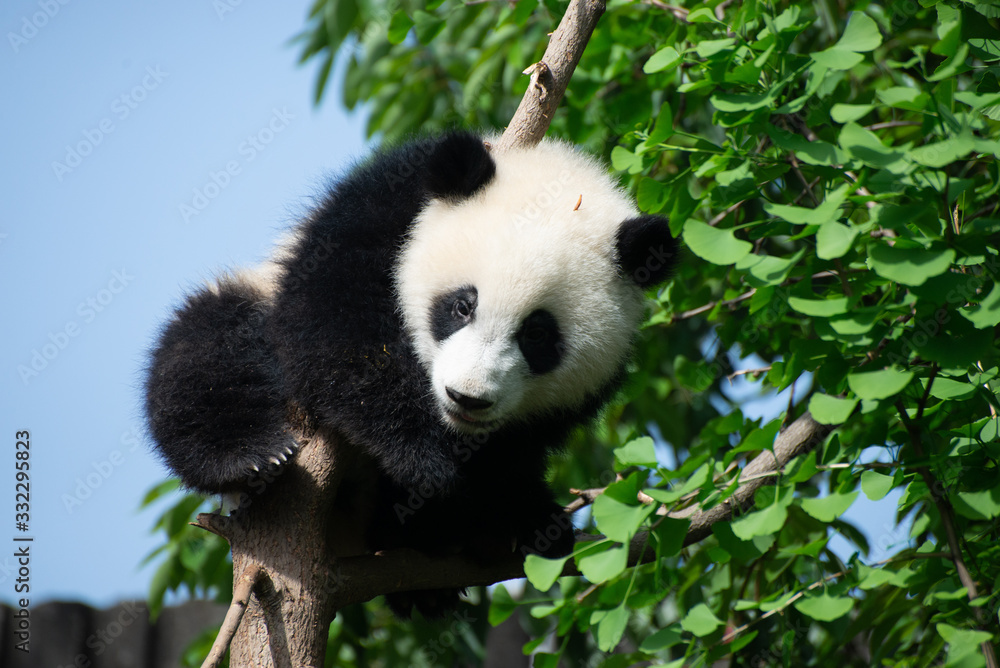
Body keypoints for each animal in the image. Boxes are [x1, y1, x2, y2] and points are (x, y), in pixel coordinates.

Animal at [145, 131, 678, 618]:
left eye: (538, 335)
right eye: (463, 305)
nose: (467, 398)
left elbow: (514, 452)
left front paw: (527, 519)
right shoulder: (379, 208)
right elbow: (336, 325)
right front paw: (423, 457)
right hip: (253, 303)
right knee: (203, 351)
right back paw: (251, 457)